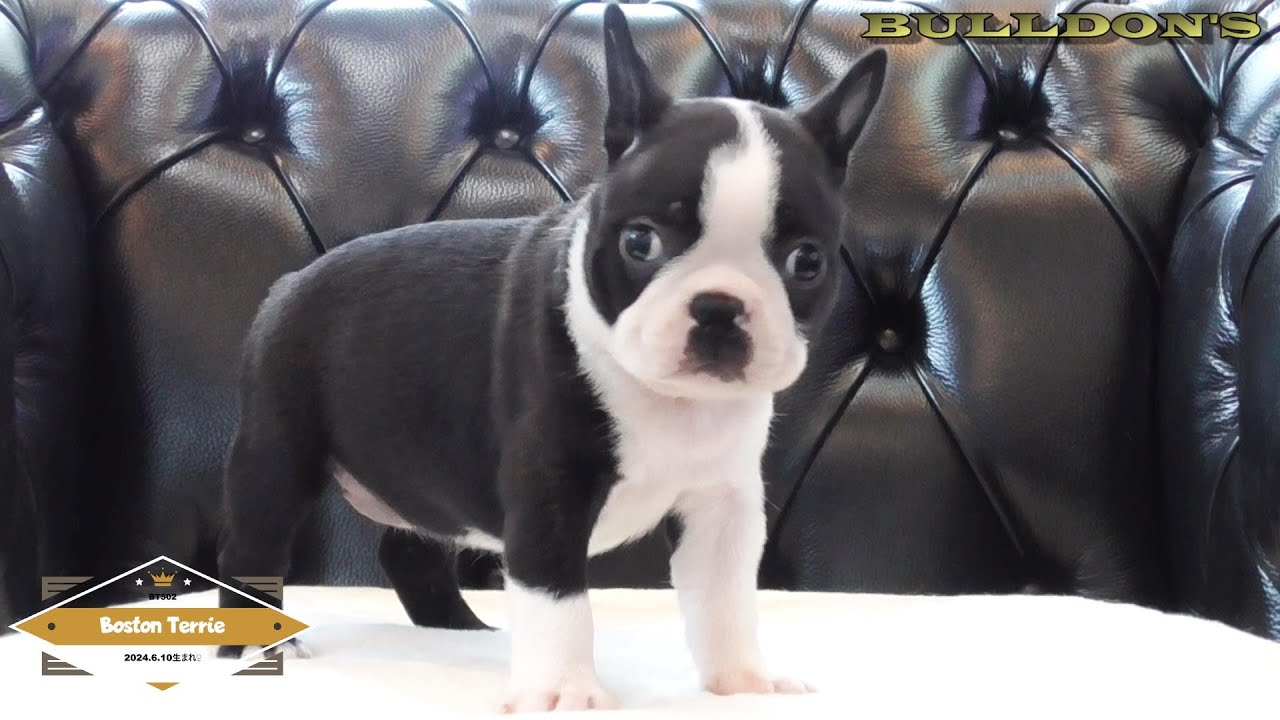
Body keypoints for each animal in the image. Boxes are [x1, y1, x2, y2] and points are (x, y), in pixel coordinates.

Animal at [215, 4, 886, 713]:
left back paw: (459, 631)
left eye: (807, 262)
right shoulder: (549, 487)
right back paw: (259, 648)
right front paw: (563, 691)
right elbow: (560, 599)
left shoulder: (721, 502)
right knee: (254, 543)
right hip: (279, 447)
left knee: (412, 552)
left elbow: (726, 599)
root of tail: (289, 284)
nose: (719, 308)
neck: (668, 398)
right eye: (640, 242)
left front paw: (744, 683)